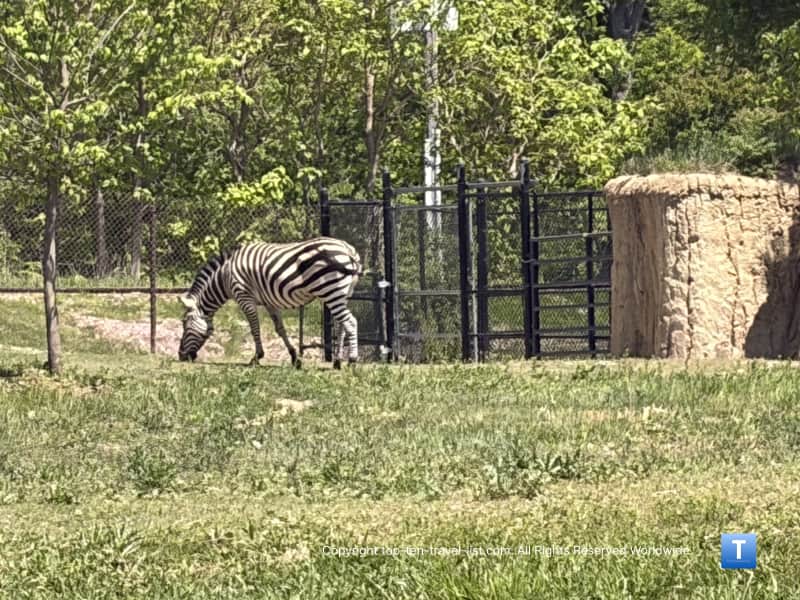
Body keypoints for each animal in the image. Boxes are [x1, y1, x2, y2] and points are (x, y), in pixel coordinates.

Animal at [178, 237, 362, 368]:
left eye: (185, 324)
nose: (181, 356)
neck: (225, 276)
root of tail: (348, 249)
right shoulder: (269, 302)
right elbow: (280, 328)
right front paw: (294, 357)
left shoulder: (244, 296)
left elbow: (254, 328)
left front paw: (256, 357)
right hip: (341, 293)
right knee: (341, 325)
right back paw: (337, 361)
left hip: (330, 291)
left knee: (351, 322)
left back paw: (352, 360)